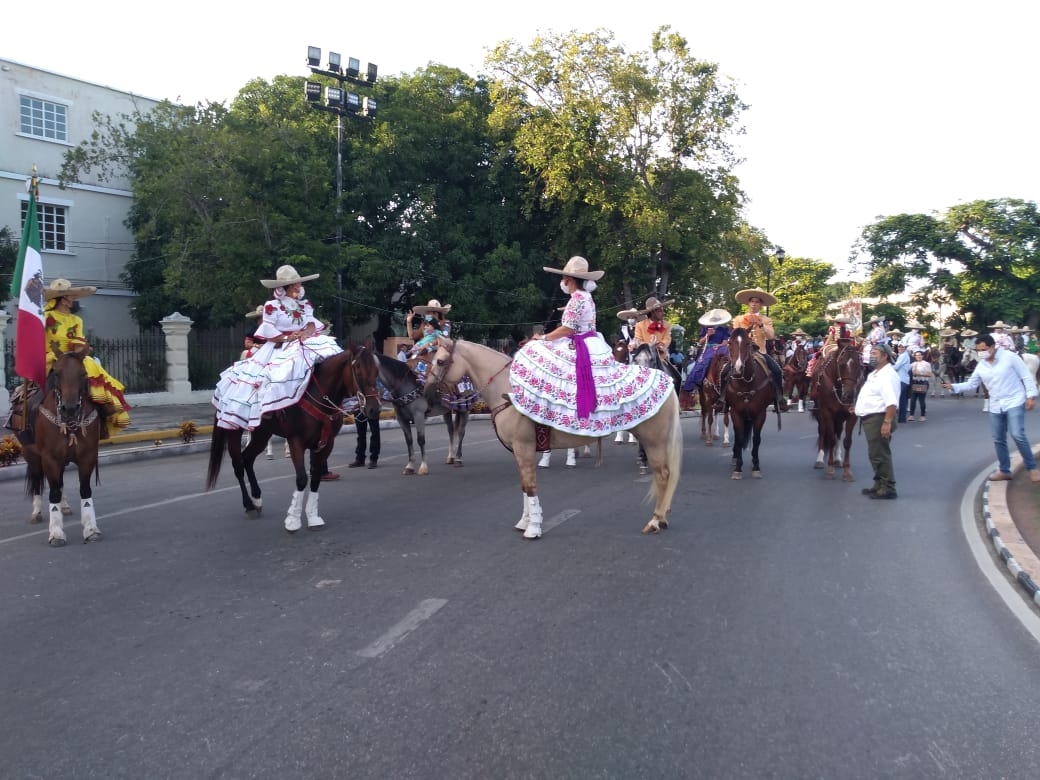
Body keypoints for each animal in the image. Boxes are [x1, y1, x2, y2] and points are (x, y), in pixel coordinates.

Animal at [23, 351, 101, 544]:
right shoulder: (49, 458)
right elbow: (53, 493)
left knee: (60, 481)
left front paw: (91, 528)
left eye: (83, 374)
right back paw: (37, 512)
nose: (70, 408)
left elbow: (84, 490)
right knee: (38, 482)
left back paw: (64, 506)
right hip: (33, 458)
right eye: (57, 373)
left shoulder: (87, 456)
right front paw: (56, 532)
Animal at [204, 347, 380, 536]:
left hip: (261, 433)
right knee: (238, 465)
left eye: (377, 371)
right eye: (358, 369)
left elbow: (315, 477)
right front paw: (293, 521)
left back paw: (257, 498)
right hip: (234, 428)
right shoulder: (296, 441)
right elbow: (302, 478)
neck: (319, 395)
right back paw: (249, 505)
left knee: (247, 459)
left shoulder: (326, 444)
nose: (374, 409)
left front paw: (313, 518)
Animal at [422, 339, 682, 540]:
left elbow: (530, 486)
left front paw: (533, 528)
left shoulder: (524, 447)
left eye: (441, 361)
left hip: (654, 442)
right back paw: (663, 518)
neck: (509, 390)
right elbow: (524, 486)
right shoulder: (519, 451)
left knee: (663, 476)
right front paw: (525, 522)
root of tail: (667, 383)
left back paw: (655, 521)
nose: (427, 396)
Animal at [723, 328, 782, 480]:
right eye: (729, 343)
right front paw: (738, 468)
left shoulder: (760, 413)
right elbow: (739, 438)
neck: (746, 383)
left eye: (748, 343)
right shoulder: (736, 412)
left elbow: (756, 439)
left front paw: (756, 466)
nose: (737, 369)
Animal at [807, 347, 865, 482]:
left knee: (838, 431)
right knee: (823, 431)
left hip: (839, 416)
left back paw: (838, 459)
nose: (849, 395)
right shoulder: (826, 412)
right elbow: (830, 439)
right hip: (821, 414)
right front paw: (830, 470)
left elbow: (847, 441)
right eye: (841, 364)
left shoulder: (851, 414)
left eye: (859, 365)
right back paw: (820, 459)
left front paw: (847, 471)